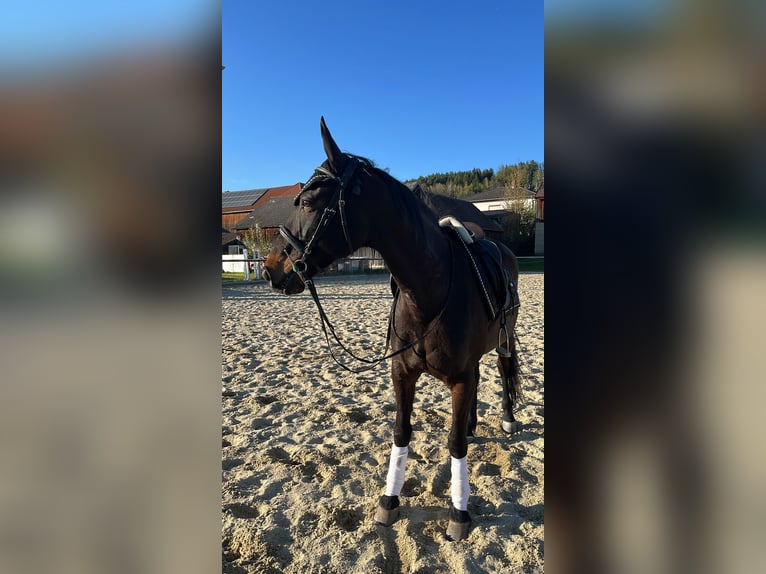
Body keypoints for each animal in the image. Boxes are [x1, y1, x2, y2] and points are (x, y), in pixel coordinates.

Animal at [262, 117, 521, 541]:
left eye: (310, 202)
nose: (271, 269)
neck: (429, 292)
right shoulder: (402, 373)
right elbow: (401, 432)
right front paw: (390, 500)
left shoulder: (459, 375)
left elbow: (453, 444)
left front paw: (459, 512)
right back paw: (471, 425)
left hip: (505, 337)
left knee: (502, 370)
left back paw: (508, 418)